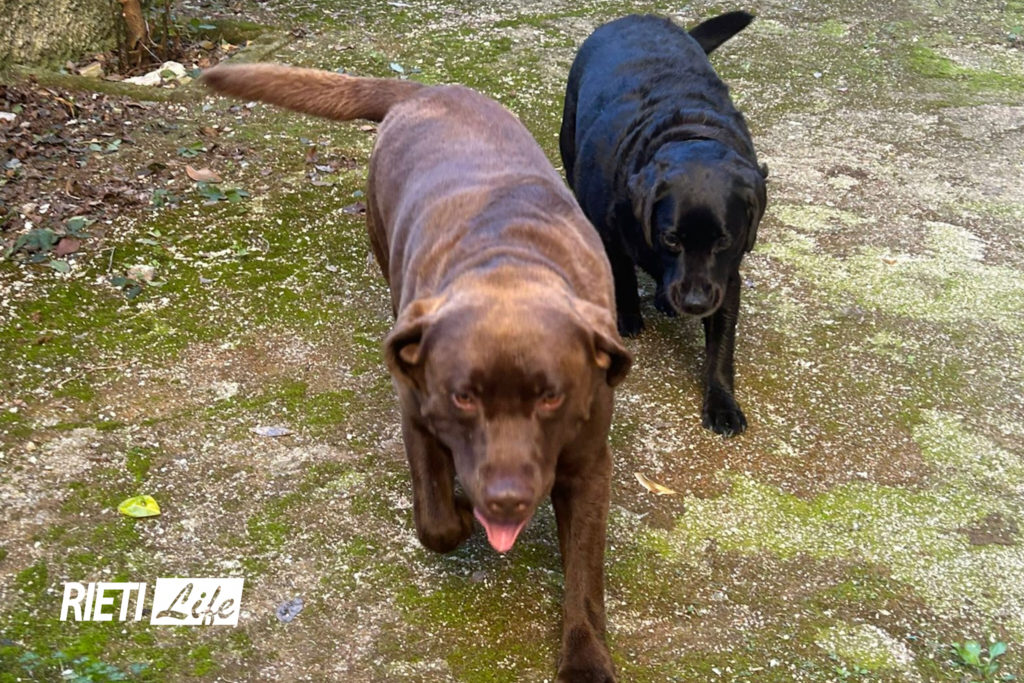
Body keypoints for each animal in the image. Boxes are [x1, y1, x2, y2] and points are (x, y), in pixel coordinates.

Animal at [203, 63, 631, 681]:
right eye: (463, 398)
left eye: (550, 398)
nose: (505, 501)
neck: (509, 261)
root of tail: (422, 91)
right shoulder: (418, 412)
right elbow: (435, 522)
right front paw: (459, 510)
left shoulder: (588, 462)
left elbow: (583, 574)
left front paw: (585, 658)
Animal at [560, 11, 766, 436]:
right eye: (671, 239)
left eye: (724, 242)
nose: (695, 302)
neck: (686, 131)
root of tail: (638, 16)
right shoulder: (610, 232)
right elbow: (622, 273)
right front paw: (628, 317)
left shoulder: (726, 279)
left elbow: (721, 347)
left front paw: (722, 403)